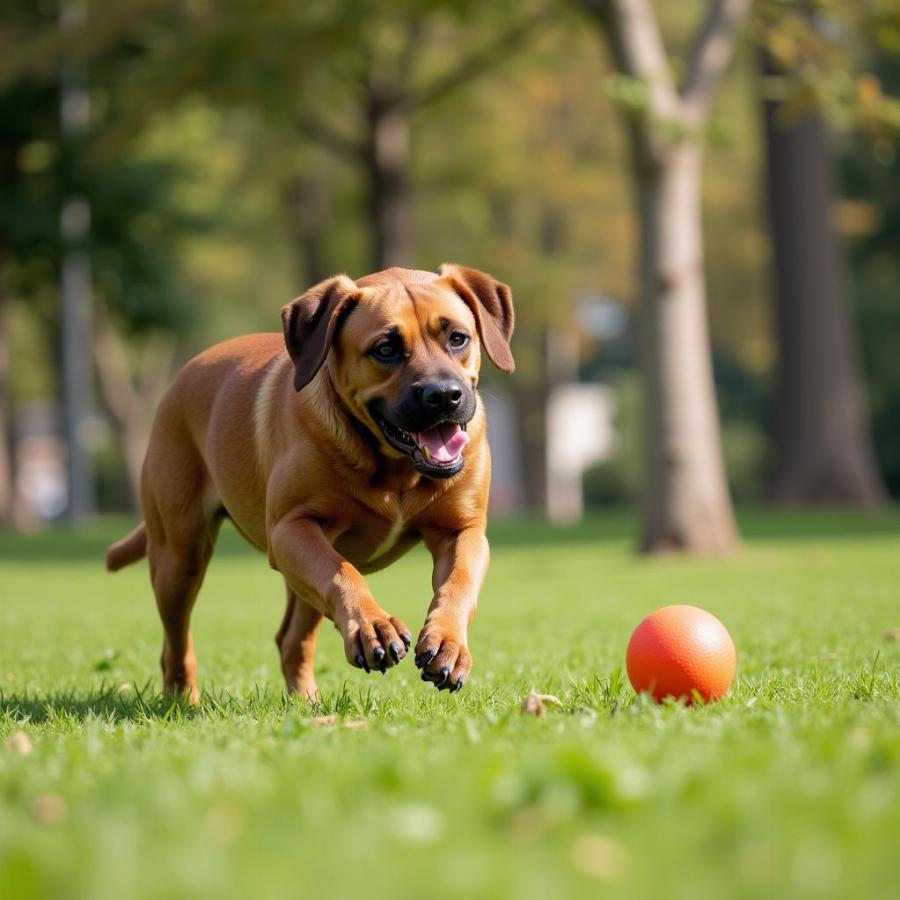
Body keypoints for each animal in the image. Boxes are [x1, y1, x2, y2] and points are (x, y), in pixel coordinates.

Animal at [105, 266, 512, 704]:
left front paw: (448, 643)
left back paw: (306, 703)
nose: (445, 395)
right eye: (385, 349)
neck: (395, 469)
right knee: (176, 644)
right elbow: (342, 573)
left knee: (290, 638)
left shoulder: (463, 531)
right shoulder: (292, 528)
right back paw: (182, 699)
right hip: (180, 557)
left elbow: (458, 585)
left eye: (457, 338)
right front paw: (373, 627)